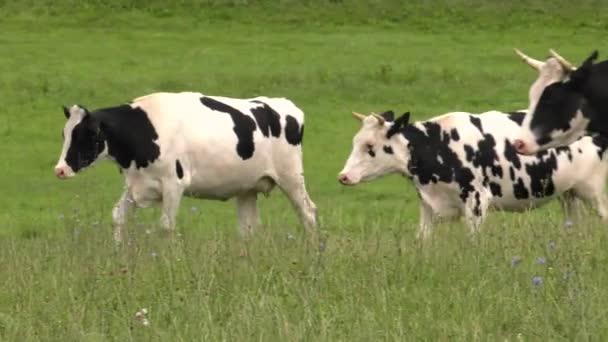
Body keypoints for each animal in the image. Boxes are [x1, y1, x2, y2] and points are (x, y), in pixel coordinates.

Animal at [54, 91, 318, 240]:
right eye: (64, 133)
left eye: (86, 134)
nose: (60, 169)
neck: (142, 128)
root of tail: (284, 104)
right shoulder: (135, 184)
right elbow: (118, 216)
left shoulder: (174, 183)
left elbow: (166, 226)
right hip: (247, 188)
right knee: (250, 228)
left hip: (291, 176)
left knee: (308, 213)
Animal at [338, 111, 608, 239]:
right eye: (355, 141)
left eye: (370, 146)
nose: (343, 176)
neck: (437, 144)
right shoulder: (428, 203)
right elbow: (422, 238)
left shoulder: (477, 200)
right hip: (569, 194)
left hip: (593, 192)